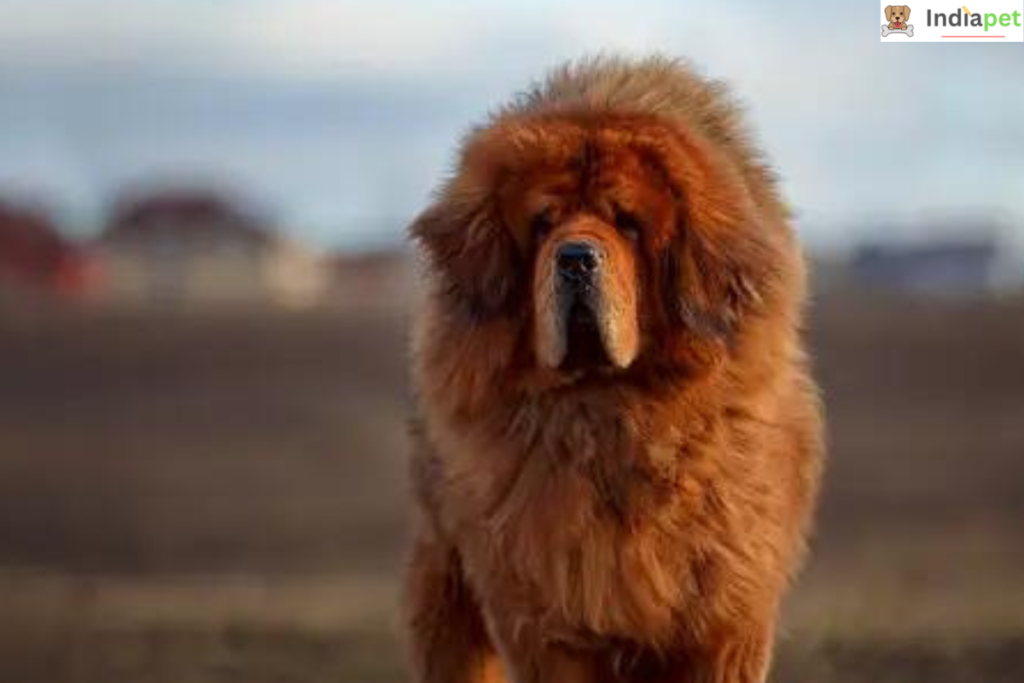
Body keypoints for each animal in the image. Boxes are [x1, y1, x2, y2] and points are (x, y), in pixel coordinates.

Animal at [403, 54, 819, 683]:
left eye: (627, 223)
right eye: (543, 223)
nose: (576, 258)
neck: (610, 416)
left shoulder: (724, 619)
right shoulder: (550, 621)